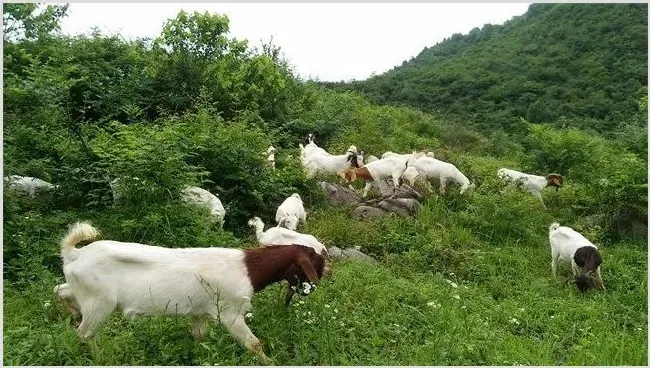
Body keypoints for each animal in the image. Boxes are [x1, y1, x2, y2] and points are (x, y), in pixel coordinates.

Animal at [53, 221, 330, 362]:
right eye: (315, 264)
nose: (311, 290)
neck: (248, 269)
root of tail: (74, 254)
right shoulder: (229, 313)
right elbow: (253, 344)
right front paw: (270, 362)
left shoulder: (200, 313)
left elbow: (199, 337)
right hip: (100, 303)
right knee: (84, 333)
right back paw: (97, 356)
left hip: (82, 290)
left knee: (60, 290)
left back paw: (72, 312)